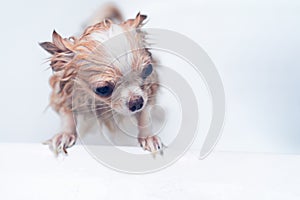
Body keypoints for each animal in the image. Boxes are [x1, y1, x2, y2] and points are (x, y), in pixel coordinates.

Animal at [39, 4, 163, 155]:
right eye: (103, 89)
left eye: (147, 70)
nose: (136, 102)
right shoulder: (63, 91)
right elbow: (66, 112)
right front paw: (65, 134)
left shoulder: (150, 87)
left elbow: (145, 112)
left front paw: (148, 136)